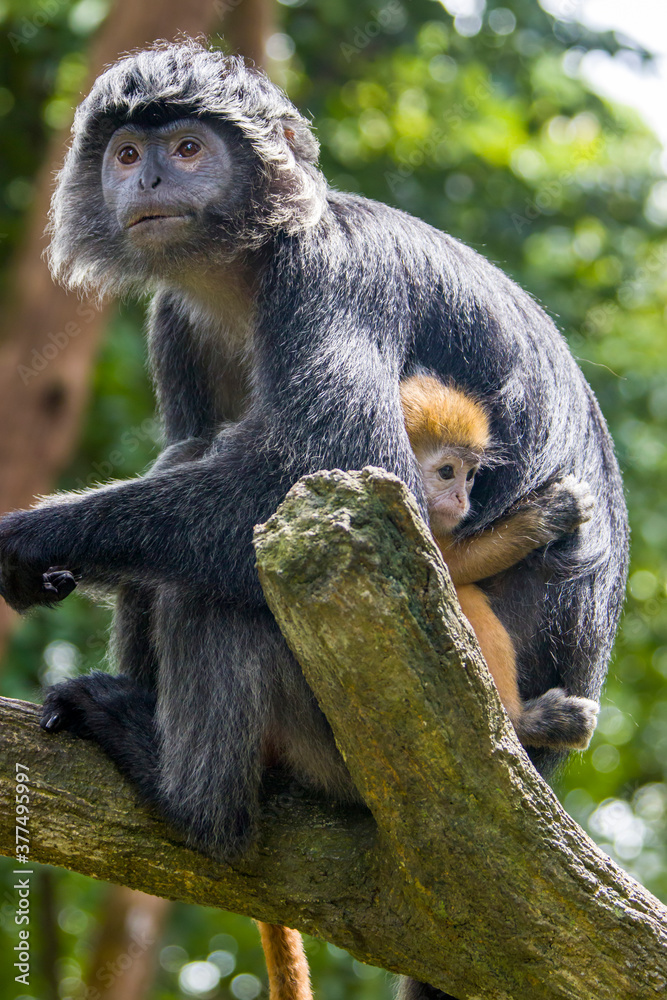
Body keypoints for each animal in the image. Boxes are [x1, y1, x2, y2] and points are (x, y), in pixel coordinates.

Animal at [399, 373, 600, 750]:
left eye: (471, 475)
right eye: (447, 472)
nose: (462, 498)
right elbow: (448, 565)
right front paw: (546, 516)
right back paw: (526, 723)